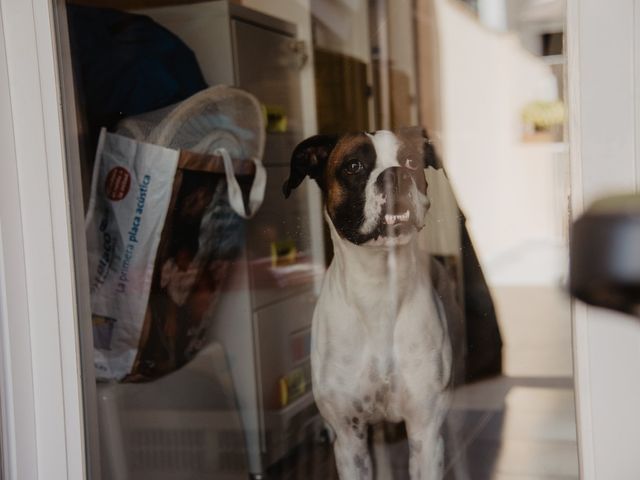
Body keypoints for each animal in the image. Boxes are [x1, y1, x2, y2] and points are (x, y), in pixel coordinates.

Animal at [282, 127, 452, 480]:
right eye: (354, 166)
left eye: (411, 161)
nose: (396, 174)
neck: (378, 289)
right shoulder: (349, 439)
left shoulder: (426, 432)